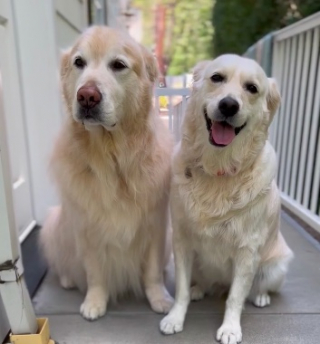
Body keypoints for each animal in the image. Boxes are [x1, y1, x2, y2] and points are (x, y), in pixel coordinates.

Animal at [41, 25, 175, 322]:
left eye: (118, 65)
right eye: (79, 62)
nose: (87, 96)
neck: (111, 156)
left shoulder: (155, 224)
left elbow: (152, 271)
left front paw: (159, 298)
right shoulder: (87, 227)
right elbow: (95, 273)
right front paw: (95, 302)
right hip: (53, 223)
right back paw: (68, 279)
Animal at [161, 55, 294, 342]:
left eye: (252, 88)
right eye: (217, 78)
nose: (229, 105)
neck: (218, 171)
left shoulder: (247, 250)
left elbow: (235, 297)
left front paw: (231, 328)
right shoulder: (182, 241)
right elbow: (181, 290)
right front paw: (175, 318)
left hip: (276, 267)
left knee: (253, 288)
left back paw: (261, 297)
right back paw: (199, 289)